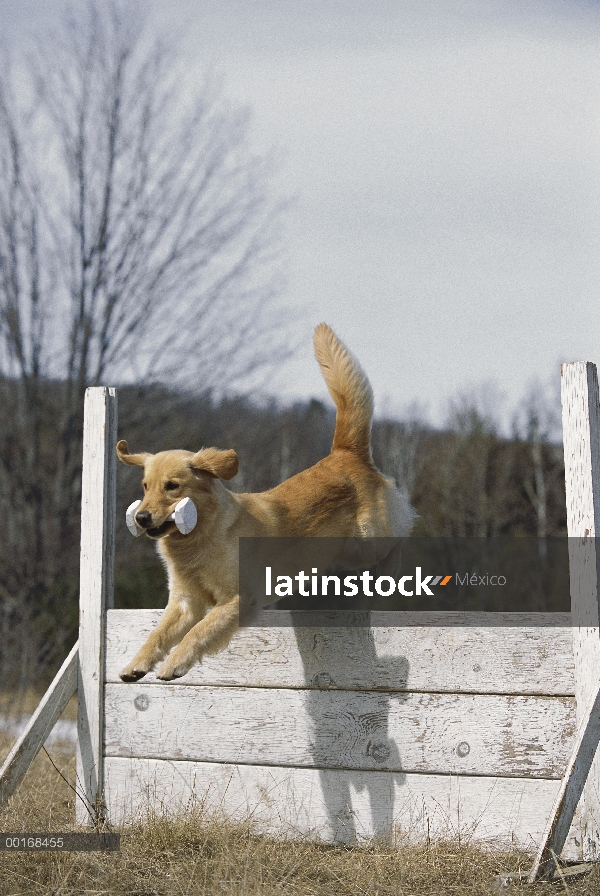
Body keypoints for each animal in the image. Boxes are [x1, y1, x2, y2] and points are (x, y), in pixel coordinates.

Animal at [119, 322, 414, 680]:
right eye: (145, 486)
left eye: (172, 487)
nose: (141, 517)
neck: (203, 535)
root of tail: (344, 453)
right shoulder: (185, 602)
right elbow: (158, 634)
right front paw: (136, 665)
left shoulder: (239, 598)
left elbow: (198, 632)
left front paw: (175, 664)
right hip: (345, 552)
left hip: (368, 540)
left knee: (403, 531)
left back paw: (392, 570)